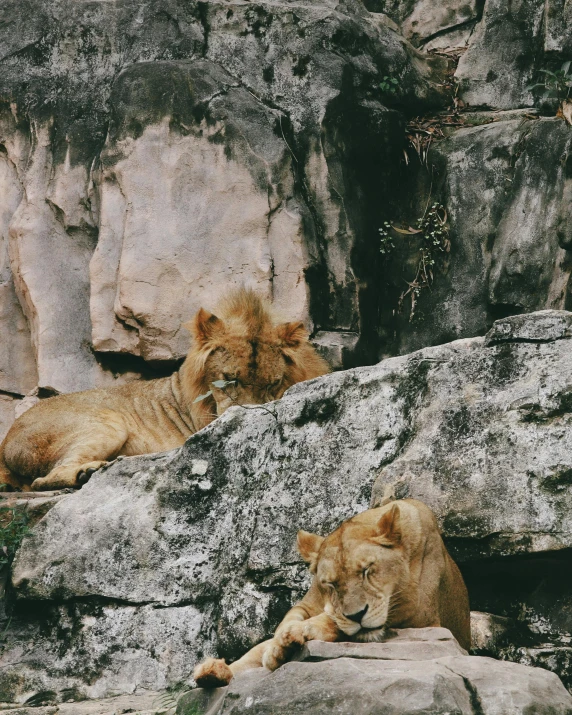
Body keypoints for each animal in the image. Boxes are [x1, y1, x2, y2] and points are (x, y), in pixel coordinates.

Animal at [0, 288, 328, 490]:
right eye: (229, 379)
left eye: (273, 383)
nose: (247, 414)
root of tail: (5, 443)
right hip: (109, 423)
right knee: (44, 479)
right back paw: (89, 472)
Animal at [192, 498, 470, 688]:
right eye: (332, 584)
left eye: (367, 571)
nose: (357, 615)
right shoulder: (309, 602)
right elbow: (288, 621)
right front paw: (279, 645)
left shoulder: (419, 613)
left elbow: (332, 621)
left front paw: (295, 636)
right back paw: (213, 672)